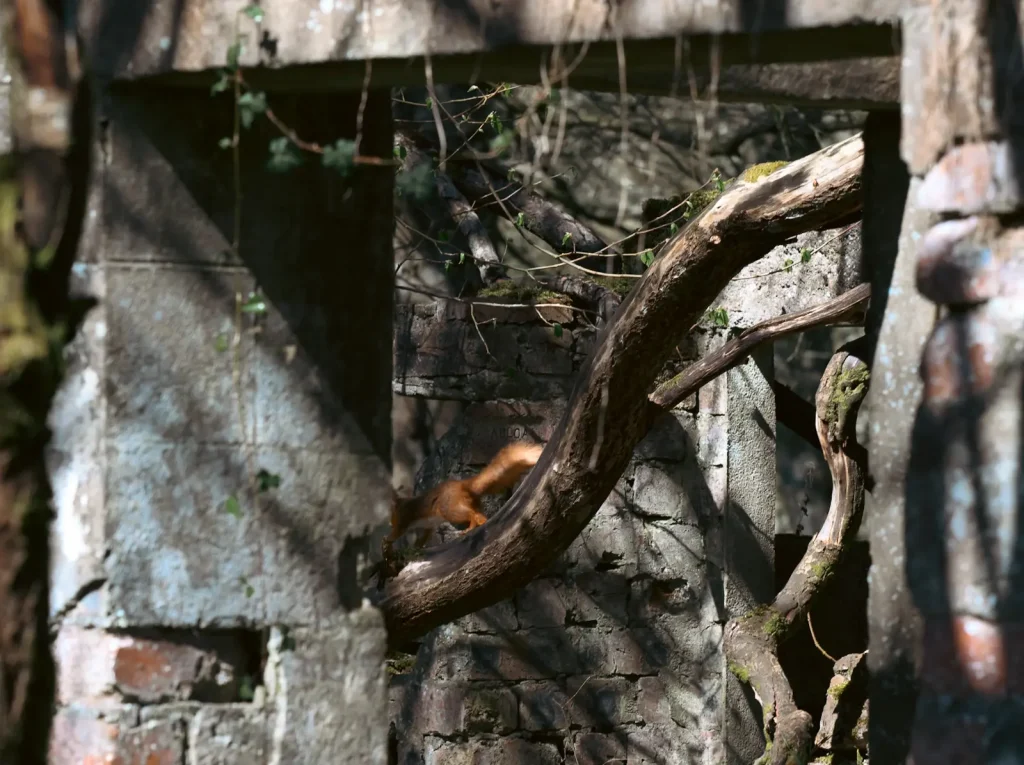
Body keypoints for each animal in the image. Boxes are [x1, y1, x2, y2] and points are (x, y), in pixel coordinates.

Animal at [385, 442, 544, 551]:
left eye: (392, 514)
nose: (390, 523)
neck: (402, 505)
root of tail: (463, 486)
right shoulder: (427, 526)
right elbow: (422, 538)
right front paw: (415, 547)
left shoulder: (404, 518)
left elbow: (398, 532)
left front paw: (387, 539)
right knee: (480, 516)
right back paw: (481, 523)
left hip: (450, 510)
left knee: (470, 515)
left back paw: (469, 528)